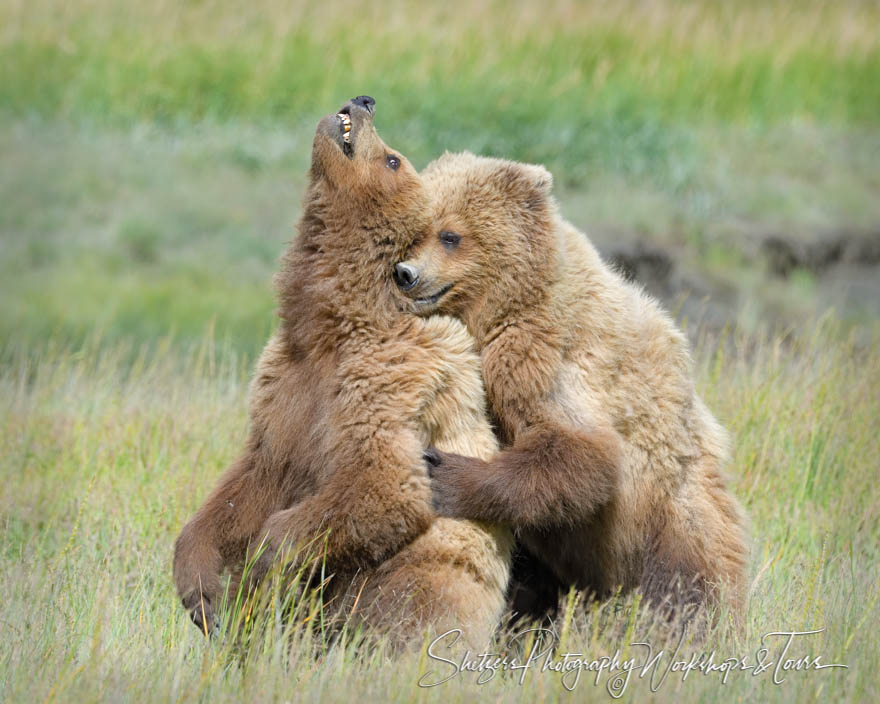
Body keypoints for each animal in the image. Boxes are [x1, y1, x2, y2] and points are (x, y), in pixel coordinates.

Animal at [173, 100, 512, 648]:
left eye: (393, 159)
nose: (364, 101)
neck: (333, 320)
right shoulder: (288, 383)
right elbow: (249, 479)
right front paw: (203, 592)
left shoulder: (384, 374)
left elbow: (382, 479)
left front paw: (266, 561)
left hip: (422, 576)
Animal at [398, 150, 748, 620]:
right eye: (413, 234)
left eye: (450, 235)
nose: (406, 274)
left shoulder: (541, 354)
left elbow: (580, 449)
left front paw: (447, 474)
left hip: (674, 516)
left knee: (683, 588)